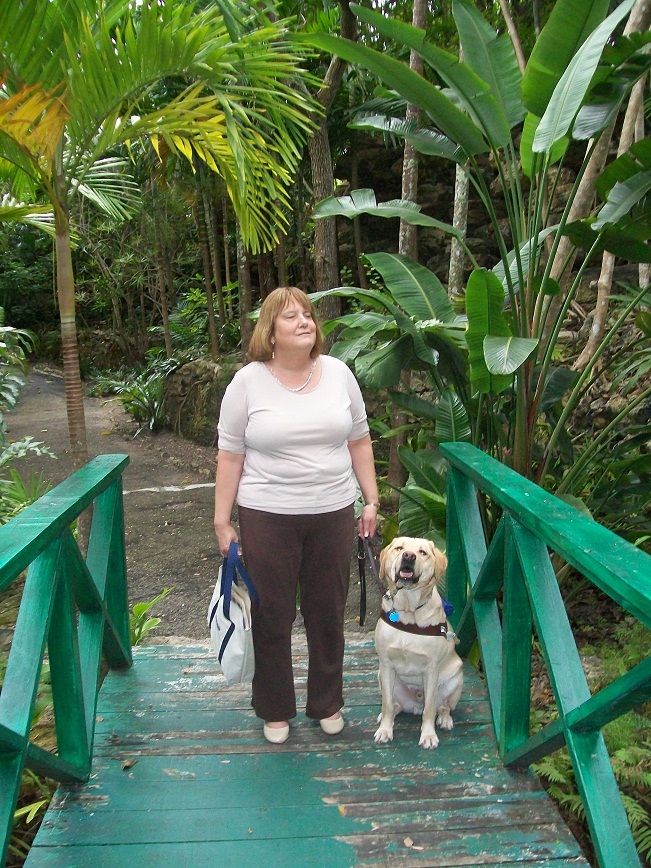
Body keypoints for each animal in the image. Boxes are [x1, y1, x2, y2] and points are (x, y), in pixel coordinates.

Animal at [374, 532, 460, 748]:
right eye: (399, 548)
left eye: (422, 552)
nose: (409, 556)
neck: (408, 611)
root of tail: (415, 704)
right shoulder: (386, 664)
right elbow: (387, 704)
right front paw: (385, 730)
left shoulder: (431, 669)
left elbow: (429, 709)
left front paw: (428, 735)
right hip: (382, 677)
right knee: (393, 704)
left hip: (456, 678)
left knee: (443, 706)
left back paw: (445, 719)